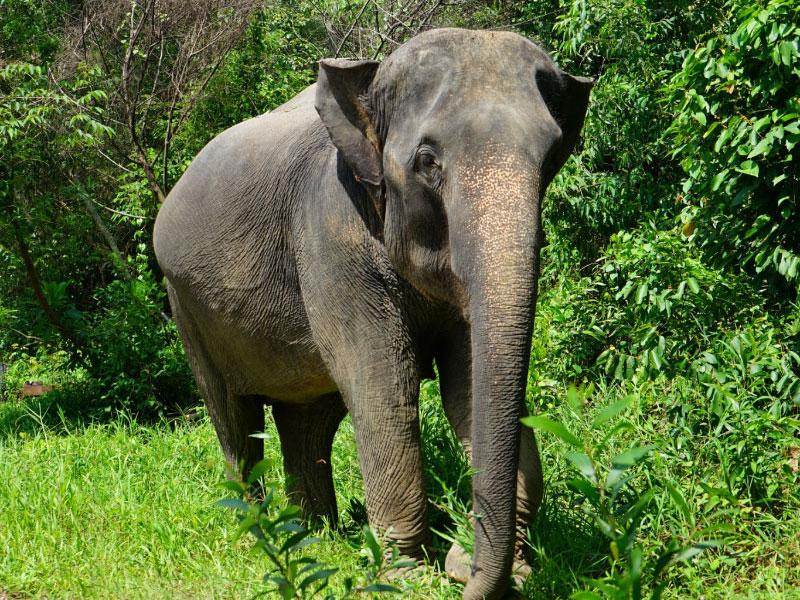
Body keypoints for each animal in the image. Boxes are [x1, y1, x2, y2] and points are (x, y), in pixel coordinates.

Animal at [153, 28, 592, 600]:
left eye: (553, 154)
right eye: (428, 161)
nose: (462, 564)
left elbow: (468, 389)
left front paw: (511, 571)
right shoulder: (330, 235)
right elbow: (385, 391)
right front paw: (406, 578)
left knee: (308, 419)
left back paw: (314, 535)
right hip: (185, 304)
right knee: (233, 418)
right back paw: (262, 534)